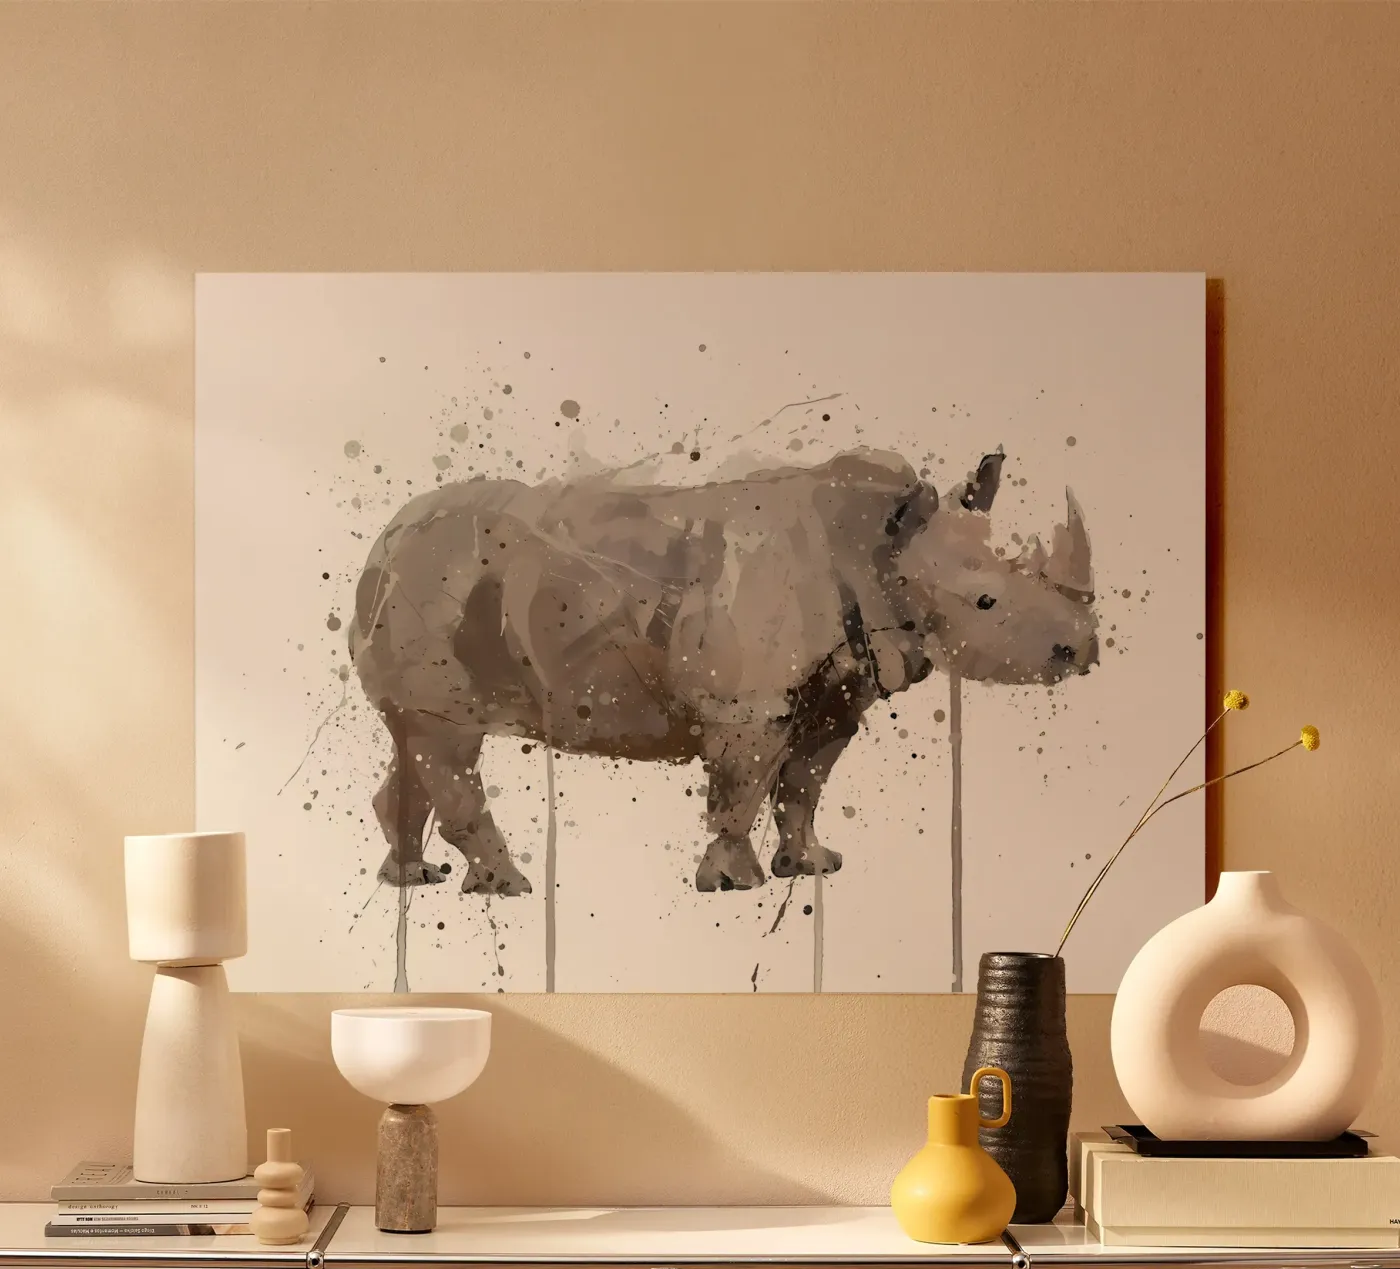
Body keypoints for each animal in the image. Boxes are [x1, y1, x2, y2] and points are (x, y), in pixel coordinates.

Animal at [349, 446, 1097, 895]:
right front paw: (737, 883)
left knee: (413, 744)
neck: (879, 546)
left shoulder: (837, 693)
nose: (1082, 650)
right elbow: (745, 788)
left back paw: (413, 878)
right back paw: (508, 886)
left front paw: (812, 866)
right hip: (434, 588)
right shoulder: (748, 704)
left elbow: (804, 784)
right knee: (448, 743)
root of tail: (381, 545)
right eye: (986, 602)